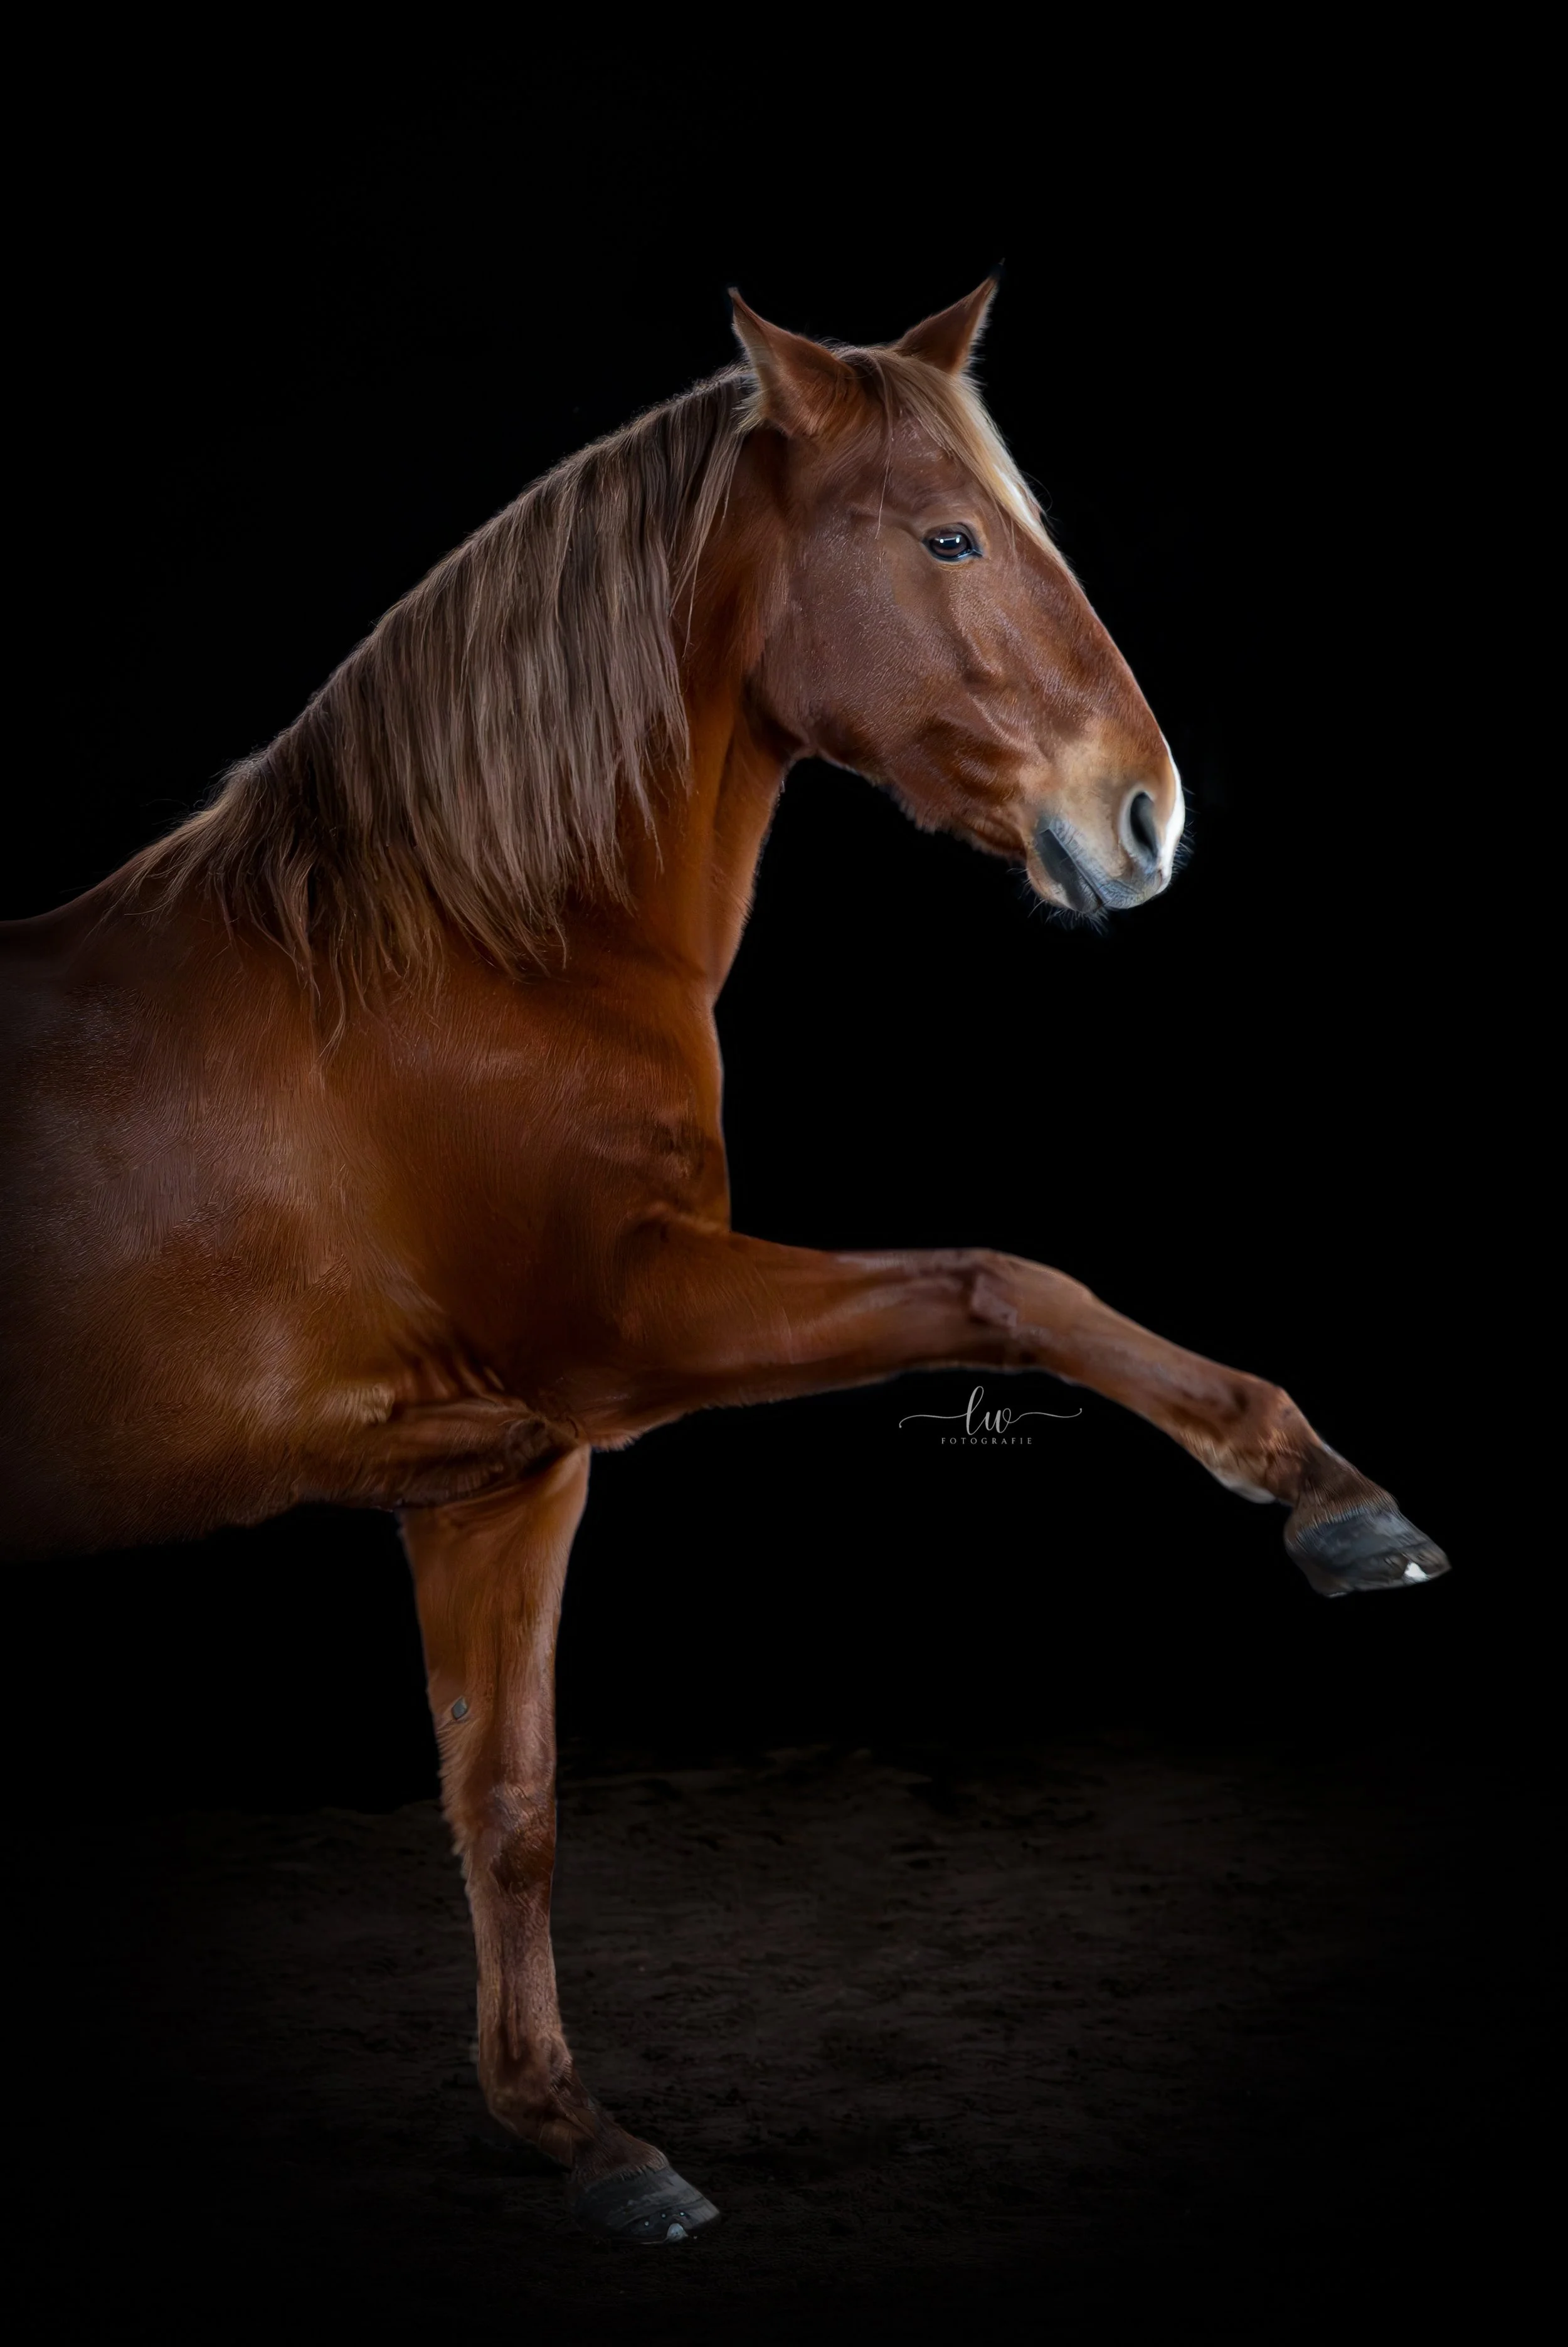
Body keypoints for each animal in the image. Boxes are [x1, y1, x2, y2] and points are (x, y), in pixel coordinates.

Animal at [0, 282, 1448, 2243]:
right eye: (948, 535)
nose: (1145, 818)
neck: (464, 956)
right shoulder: (628, 1326)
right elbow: (1004, 1281)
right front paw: (1331, 1496)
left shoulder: (506, 1472)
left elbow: (508, 1798)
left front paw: (579, 2135)